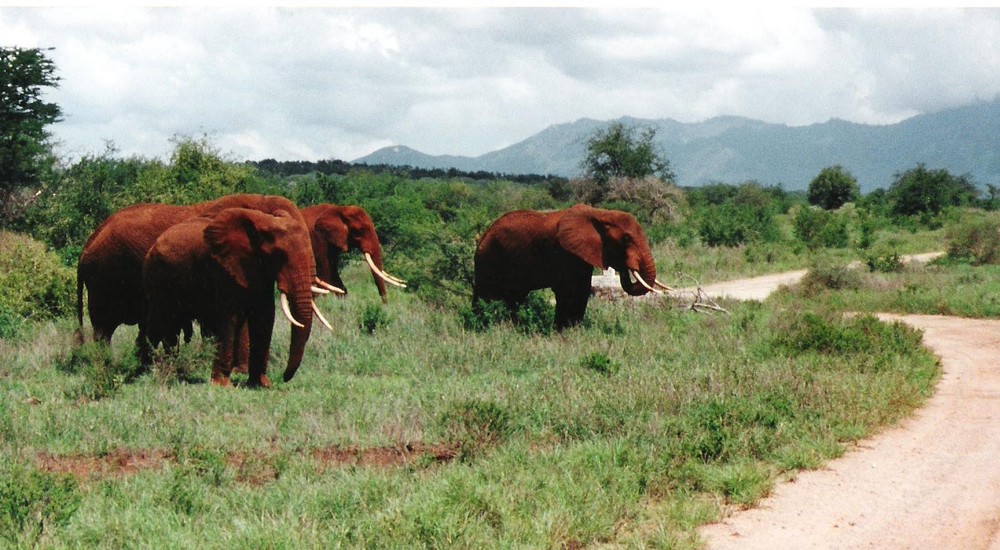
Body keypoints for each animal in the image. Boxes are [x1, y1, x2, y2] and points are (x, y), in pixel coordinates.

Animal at [141, 207, 318, 388]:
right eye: (279, 256)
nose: (284, 377)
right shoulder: (222, 268)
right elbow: (230, 318)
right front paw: (222, 385)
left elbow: (265, 316)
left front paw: (261, 384)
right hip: (156, 277)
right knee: (158, 324)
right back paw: (147, 372)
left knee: (171, 328)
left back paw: (171, 371)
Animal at [470, 204, 672, 330]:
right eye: (626, 239)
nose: (626, 265)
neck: (600, 214)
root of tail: (484, 233)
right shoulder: (563, 252)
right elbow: (566, 291)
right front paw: (561, 332)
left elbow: (582, 290)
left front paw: (574, 330)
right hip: (488, 259)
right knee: (485, 293)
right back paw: (479, 324)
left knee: (515, 296)